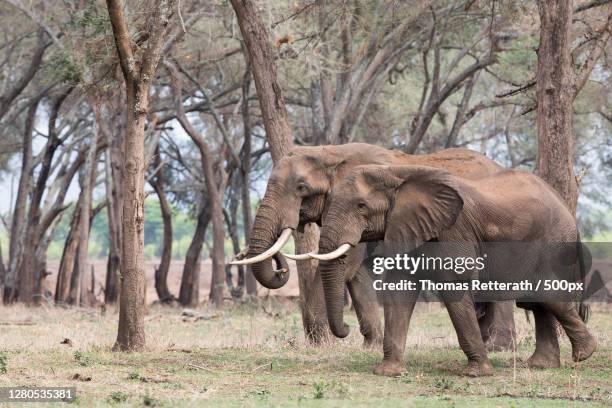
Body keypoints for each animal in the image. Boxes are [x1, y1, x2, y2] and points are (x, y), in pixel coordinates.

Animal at [232, 143, 512, 348]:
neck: (330, 152)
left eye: (301, 188)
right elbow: (357, 274)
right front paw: (371, 345)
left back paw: (498, 346)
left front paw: (320, 344)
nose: (280, 268)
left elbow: (346, 265)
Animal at [308, 164, 596, 378]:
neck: (398, 172)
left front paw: (476, 374)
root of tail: (568, 210)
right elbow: (399, 291)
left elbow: (454, 286)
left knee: (549, 296)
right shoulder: (408, 228)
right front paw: (387, 372)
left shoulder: (453, 230)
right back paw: (541, 365)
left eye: (361, 206)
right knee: (537, 302)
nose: (346, 329)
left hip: (553, 242)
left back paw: (585, 354)